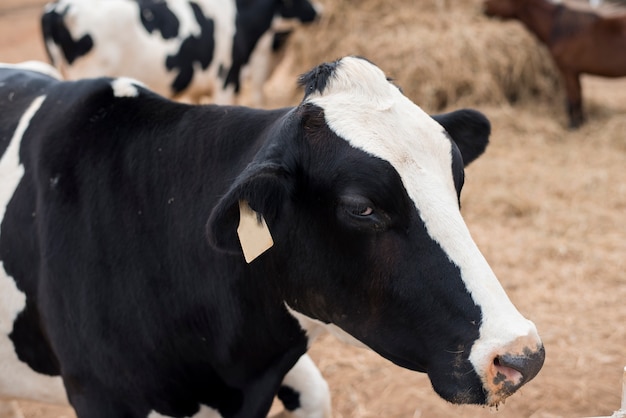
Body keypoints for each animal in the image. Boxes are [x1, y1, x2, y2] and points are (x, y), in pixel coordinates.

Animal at [482, 0, 624, 129]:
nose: (481, 8)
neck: (559, 28)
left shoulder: (568, 71)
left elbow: (573, 99)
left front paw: (574, 126)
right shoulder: (574, 73)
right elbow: (577, 97)